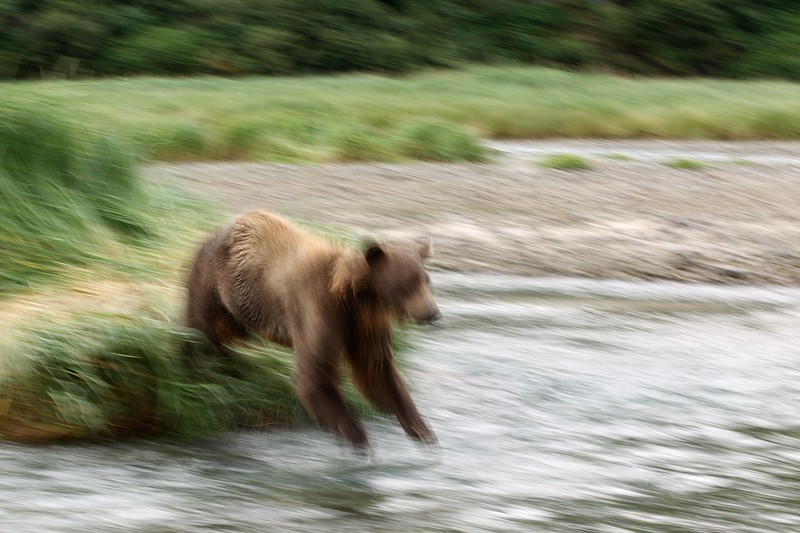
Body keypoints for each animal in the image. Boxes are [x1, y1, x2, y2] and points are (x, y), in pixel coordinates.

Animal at [185, 209, 440, 449]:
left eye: (426, 281)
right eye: (407, 283)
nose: (432, 313)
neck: (355, 300)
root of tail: (213, 232)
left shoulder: (366, 325)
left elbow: (376, 370)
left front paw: (421, 429)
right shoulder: (319, 308)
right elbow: (315, 371)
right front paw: (357, 435)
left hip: (242, 309)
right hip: (215, 283)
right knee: (201, 329)